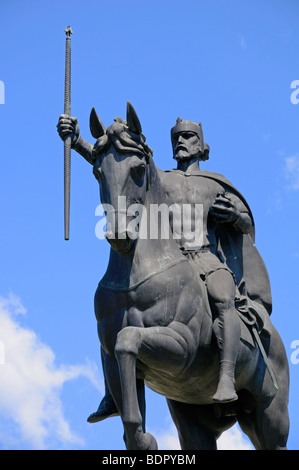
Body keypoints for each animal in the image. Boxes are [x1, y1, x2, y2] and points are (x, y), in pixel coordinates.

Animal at [89, 103, 290, 452]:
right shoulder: (113, 359)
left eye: (137, 169)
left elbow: (128, 339)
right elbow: (127, 388)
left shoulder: (181, 346)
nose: (119, 234)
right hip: (194, 421)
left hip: (272, 417)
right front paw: (141, 439)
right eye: (97, 170)